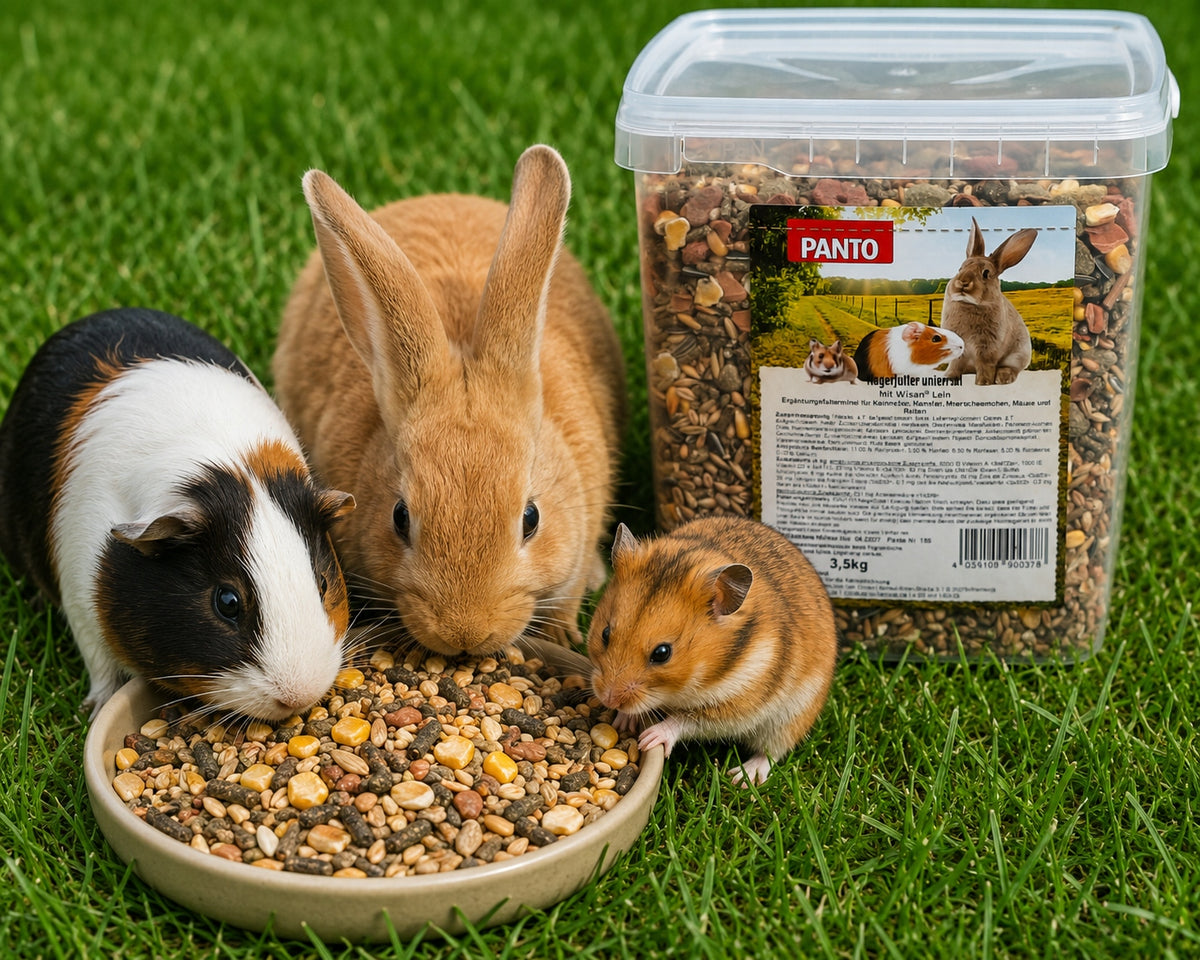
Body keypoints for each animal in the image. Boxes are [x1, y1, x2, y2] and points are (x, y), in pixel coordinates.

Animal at [0, 308, 355, 720]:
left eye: (323, 583)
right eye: (227, 602)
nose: (299, 696)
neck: (228, 472)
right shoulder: (80, 596)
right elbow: (101, 665)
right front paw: (97, 707)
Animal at [586, 517, 837, 786]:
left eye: (662, 653)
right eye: (605, 633)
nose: (607, 699)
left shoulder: (735, 704)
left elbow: (685, 721)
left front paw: (648, 738)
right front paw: (623, 721)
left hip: (791, 718)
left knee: (771, 753)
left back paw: (742, 778)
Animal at [940, 217, 1038, 385]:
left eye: (986, 273)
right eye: (960, 268)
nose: (963, 282)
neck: (970, 304)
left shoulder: (987, 347)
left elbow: (985, 364)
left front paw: (983, 382)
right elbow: (956, 363)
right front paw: (949, 377)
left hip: (1018, 355)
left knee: (1012, 368)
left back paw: (1002, 377)